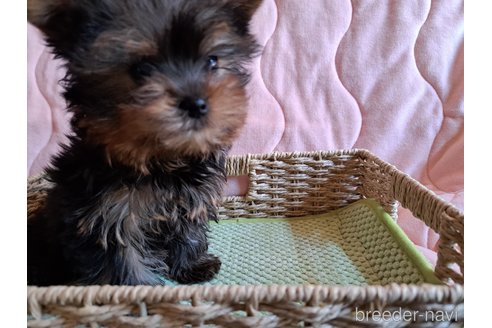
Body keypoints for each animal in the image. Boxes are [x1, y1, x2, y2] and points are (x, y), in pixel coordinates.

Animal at [26, 0, 262, 286]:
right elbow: (123, 261)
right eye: (141, 69)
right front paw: (139, 289)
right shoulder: (107, 215)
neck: (160, 160)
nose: (196, 104)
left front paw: (194, 264)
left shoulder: (190, 198)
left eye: (212, 61)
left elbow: (189, 230)